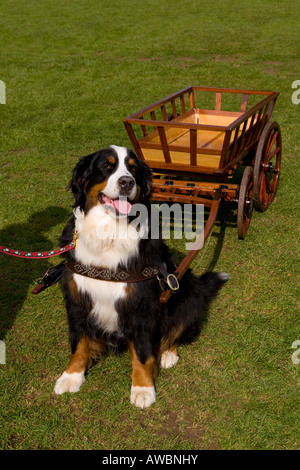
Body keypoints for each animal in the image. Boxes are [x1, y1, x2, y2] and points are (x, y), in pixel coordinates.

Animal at [54, 145, 229, 406]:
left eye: (134, 169)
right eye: (107, 166)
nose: (127, 182)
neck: (110, 232)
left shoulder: (141, 304)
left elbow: (143, 352)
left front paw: (143, 388)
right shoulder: (77, 298)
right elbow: (78, 342)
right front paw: (71, 376)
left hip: (187, 294)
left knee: (175, 330)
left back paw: (167, 354)